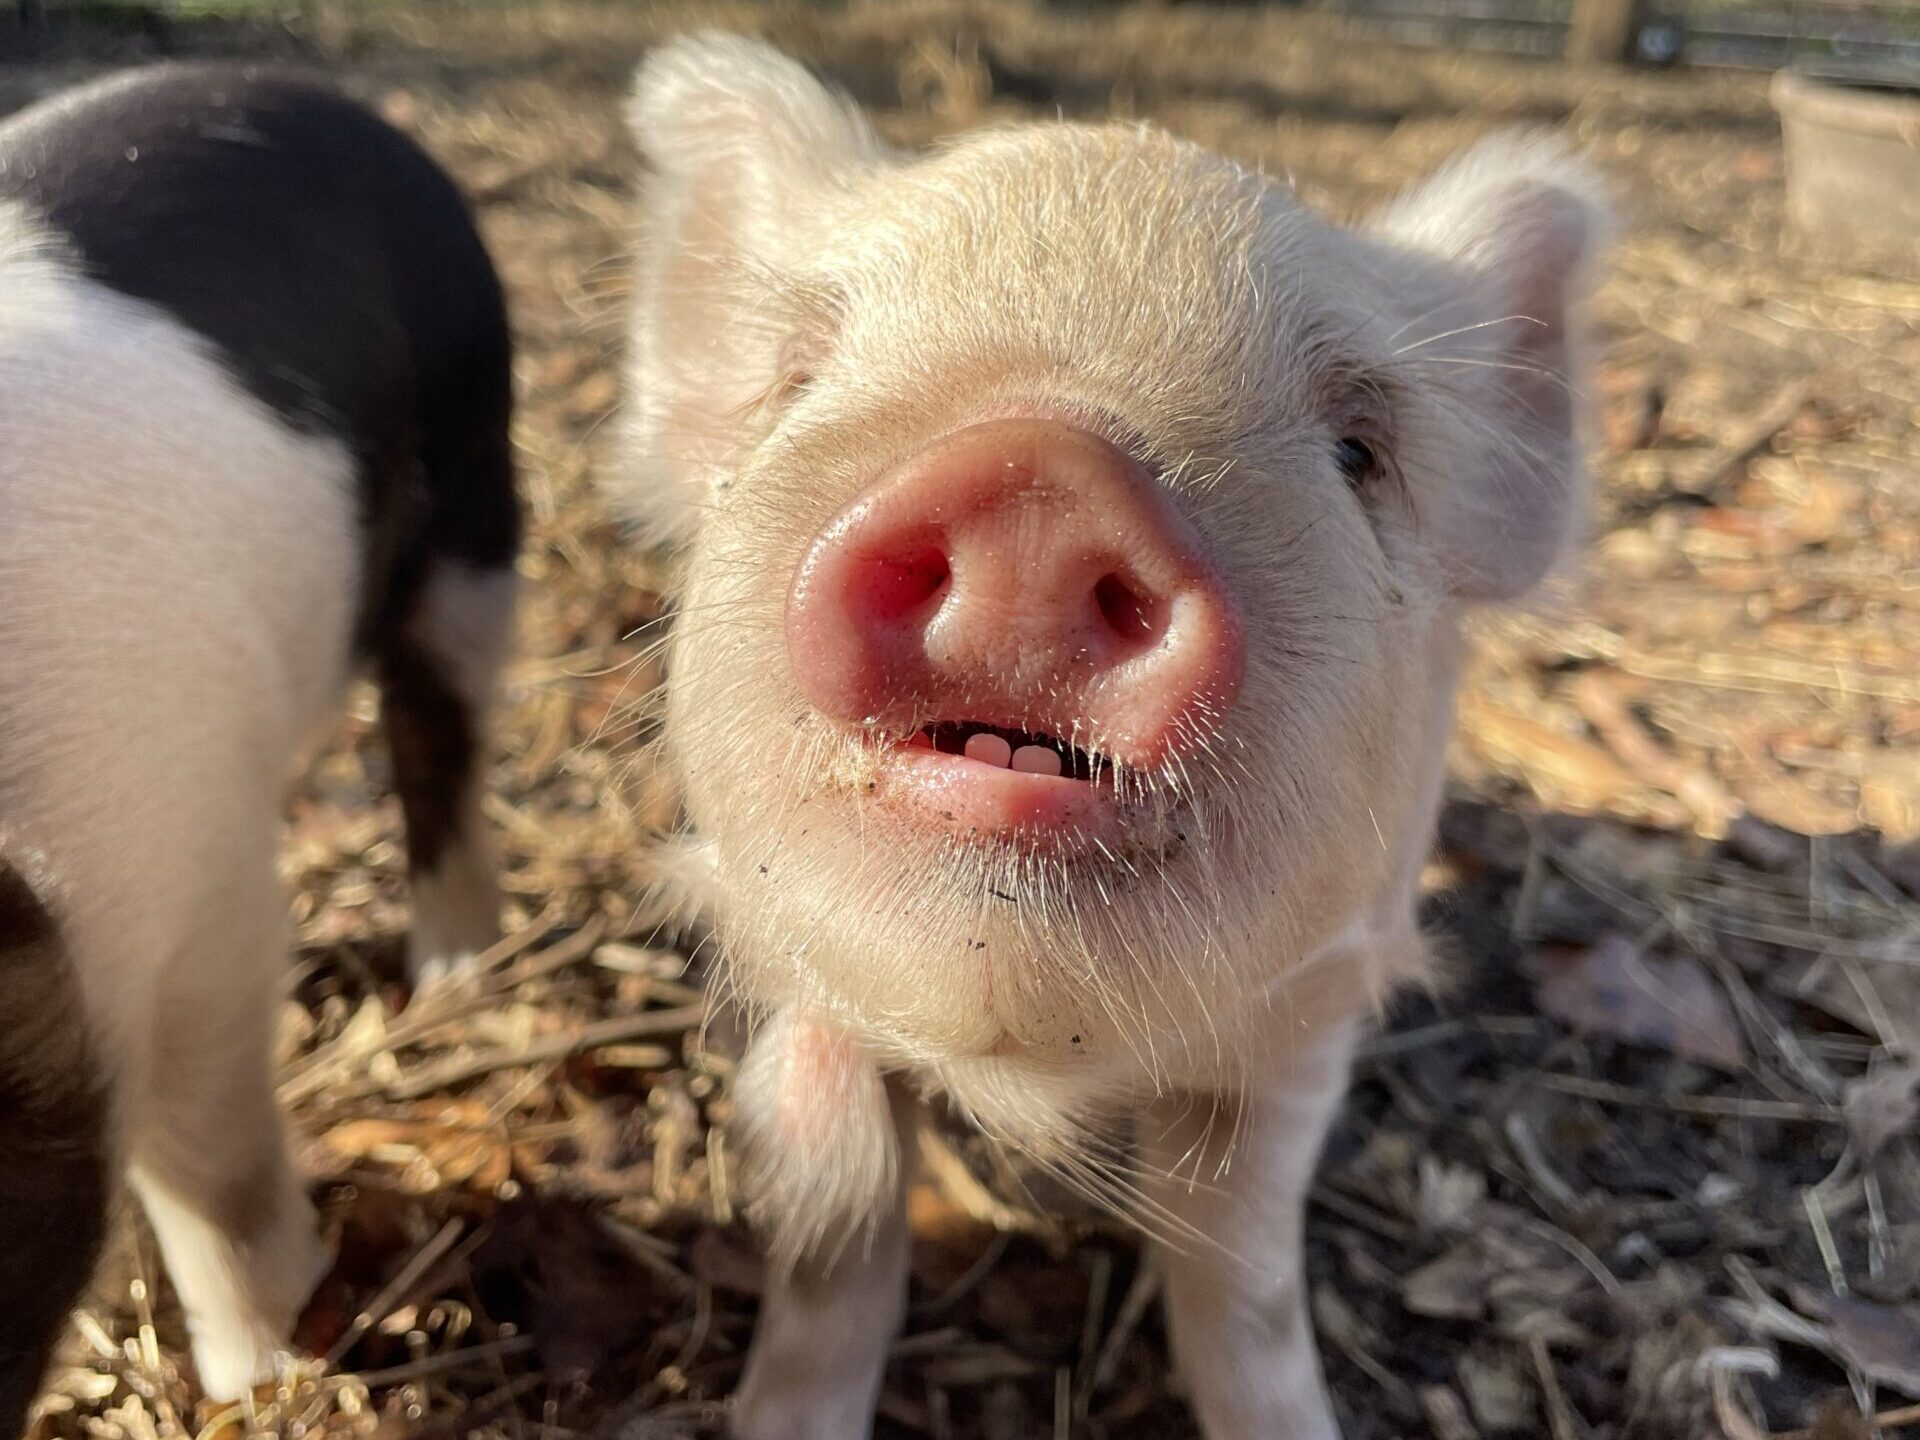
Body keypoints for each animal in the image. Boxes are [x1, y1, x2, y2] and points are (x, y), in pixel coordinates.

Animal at [0, 59, 518, 1436]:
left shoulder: (191, 863)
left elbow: (206, 1140)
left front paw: (272, 1364)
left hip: (475, 474)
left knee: (441, 732)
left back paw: (457, 984)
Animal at [622, 30, 1612, 1440]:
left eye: (1358, 451)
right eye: (798, 380)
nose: (1039, 471)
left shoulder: (1302, 1032)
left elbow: (1242, 1275)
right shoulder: (800, 999)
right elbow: (836, 1238)